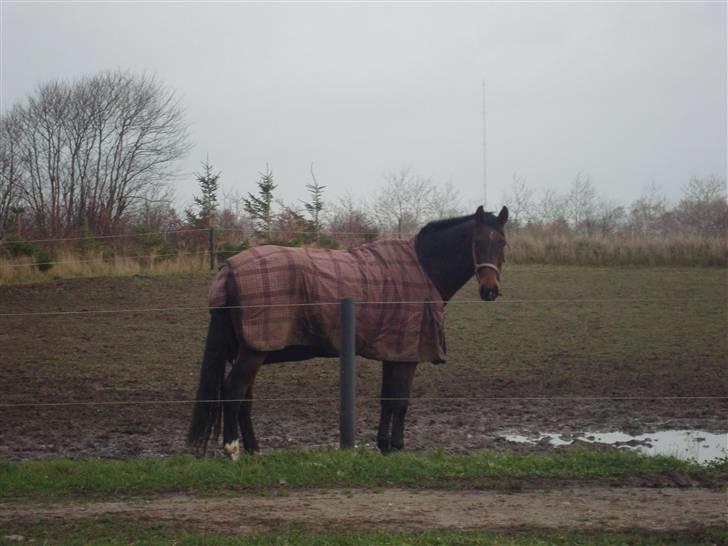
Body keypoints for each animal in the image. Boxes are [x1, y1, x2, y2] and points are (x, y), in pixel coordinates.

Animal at [188, 206, 506, 456]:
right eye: (476, 242)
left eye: (502, 244)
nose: (490, 290)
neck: (422, 267)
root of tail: (229, 268)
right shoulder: (408, 353)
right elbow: (401, 400)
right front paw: (398, 447)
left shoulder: (394, 351)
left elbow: (388, 399)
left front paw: (384, 445)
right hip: (254, 351)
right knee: (233, 391)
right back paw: (233, 450)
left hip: (251, 349)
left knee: (244, 399)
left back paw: (254, 450)